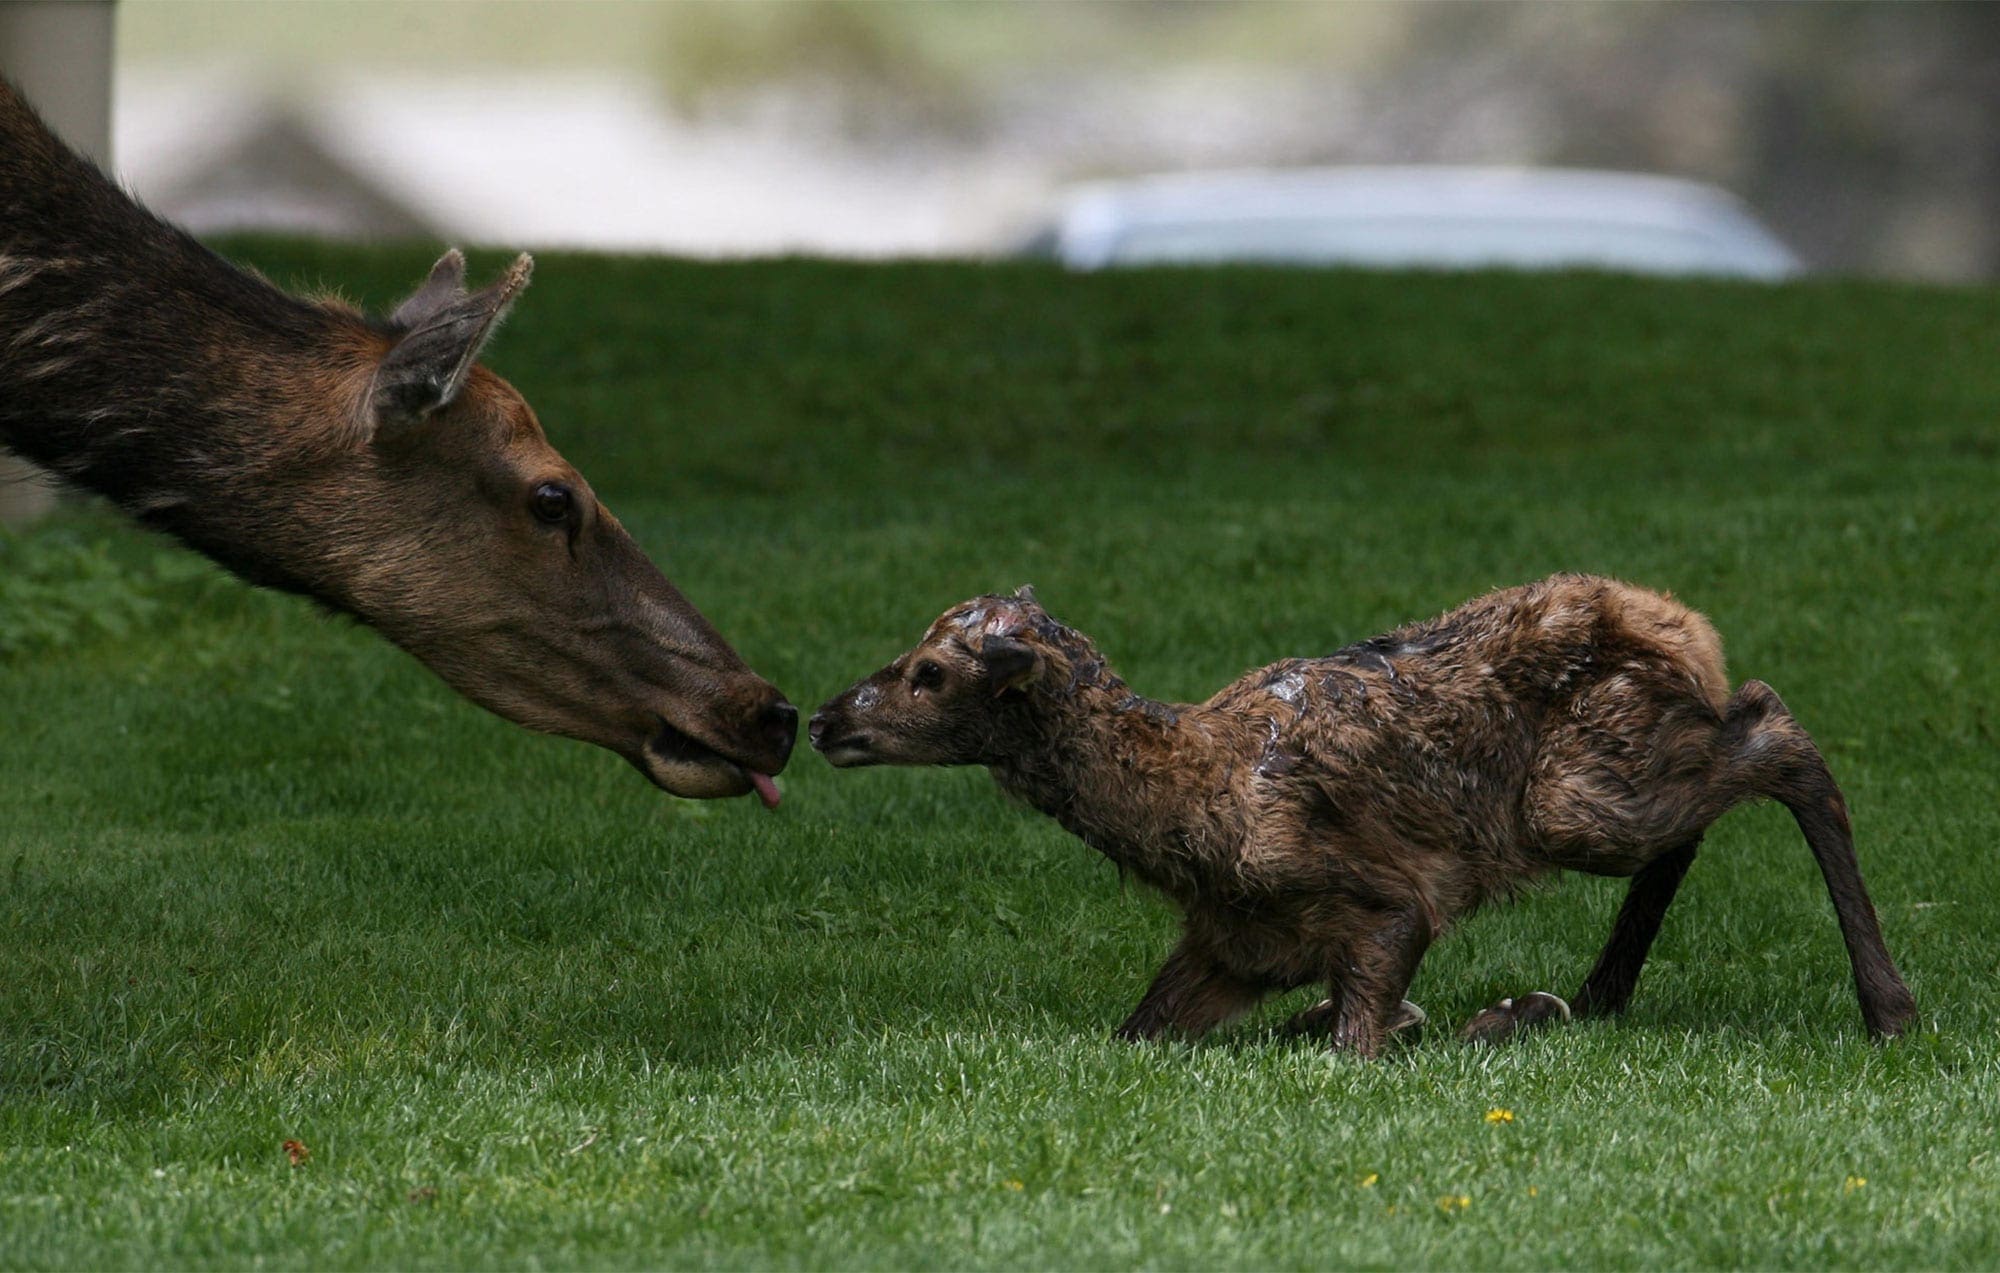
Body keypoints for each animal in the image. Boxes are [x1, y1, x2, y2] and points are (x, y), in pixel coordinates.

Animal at [816, 576, 1920, 1056]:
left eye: (927, 671)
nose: (824, 718)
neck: (1194, 806)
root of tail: (1686, 627)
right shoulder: (1229, 944)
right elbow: (1140, 1031)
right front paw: (1489, 1008)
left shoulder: (1386, 900)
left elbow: (1357, 1044)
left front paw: (1495, 1014)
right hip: (1615, 771)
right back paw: (1599, 989)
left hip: (1573, 802)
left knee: (1777, 728)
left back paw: (1889, 1007)